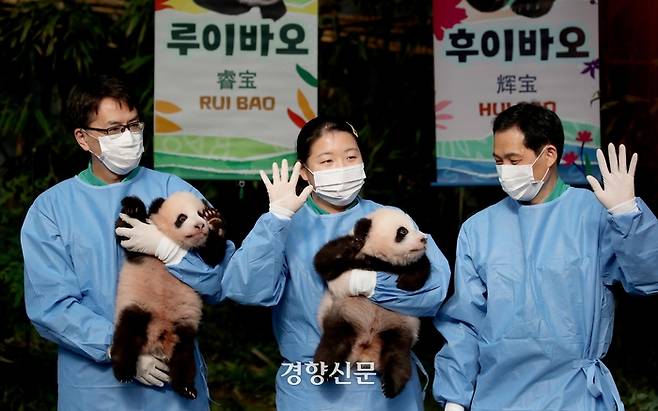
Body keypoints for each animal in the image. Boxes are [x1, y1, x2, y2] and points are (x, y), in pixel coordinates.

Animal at [110, 192, 226, 400]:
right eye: (182, 218)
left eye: (200, 214)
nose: (200, 225)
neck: (175, 242)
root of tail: (158, 340)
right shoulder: (139, 250)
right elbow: (125, 230)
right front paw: (132, 206)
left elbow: (214, 260)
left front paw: (214, 220)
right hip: (139, 307)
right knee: (128, 333)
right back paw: (124, 371)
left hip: (184, 328)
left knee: (184, 358)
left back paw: (186, 388)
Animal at [312, 209, 430, 400]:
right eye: (403, 231)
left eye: (415, 227)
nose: (424, 239)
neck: (379, 259)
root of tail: (365, 351)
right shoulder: (352, 259)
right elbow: (323, 260)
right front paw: (353, 242)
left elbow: (422, 266)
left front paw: (405, 283)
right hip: (343, 314)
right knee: (334, 342)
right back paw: (325, 371)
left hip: (399, 327)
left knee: (397, 355)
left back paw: (391, 385)